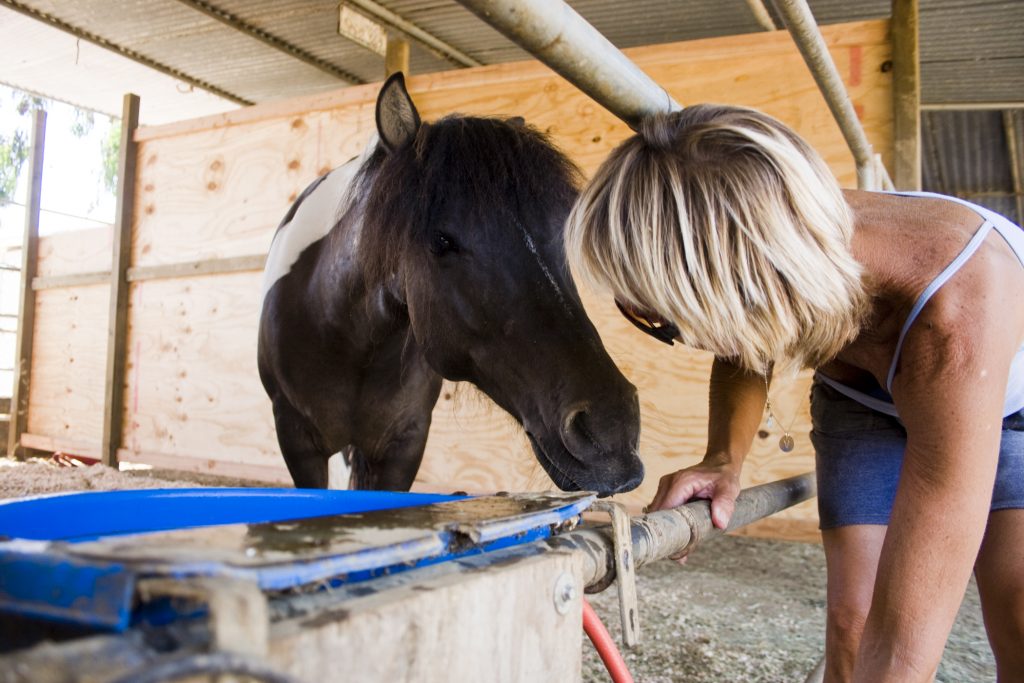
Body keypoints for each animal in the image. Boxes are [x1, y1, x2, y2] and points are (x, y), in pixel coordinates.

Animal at [258, 73, 638, 497]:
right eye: (441, 241)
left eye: (560, 232)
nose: (612, 430)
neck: (348, 340)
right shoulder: (298, 442)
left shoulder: (404, 444)